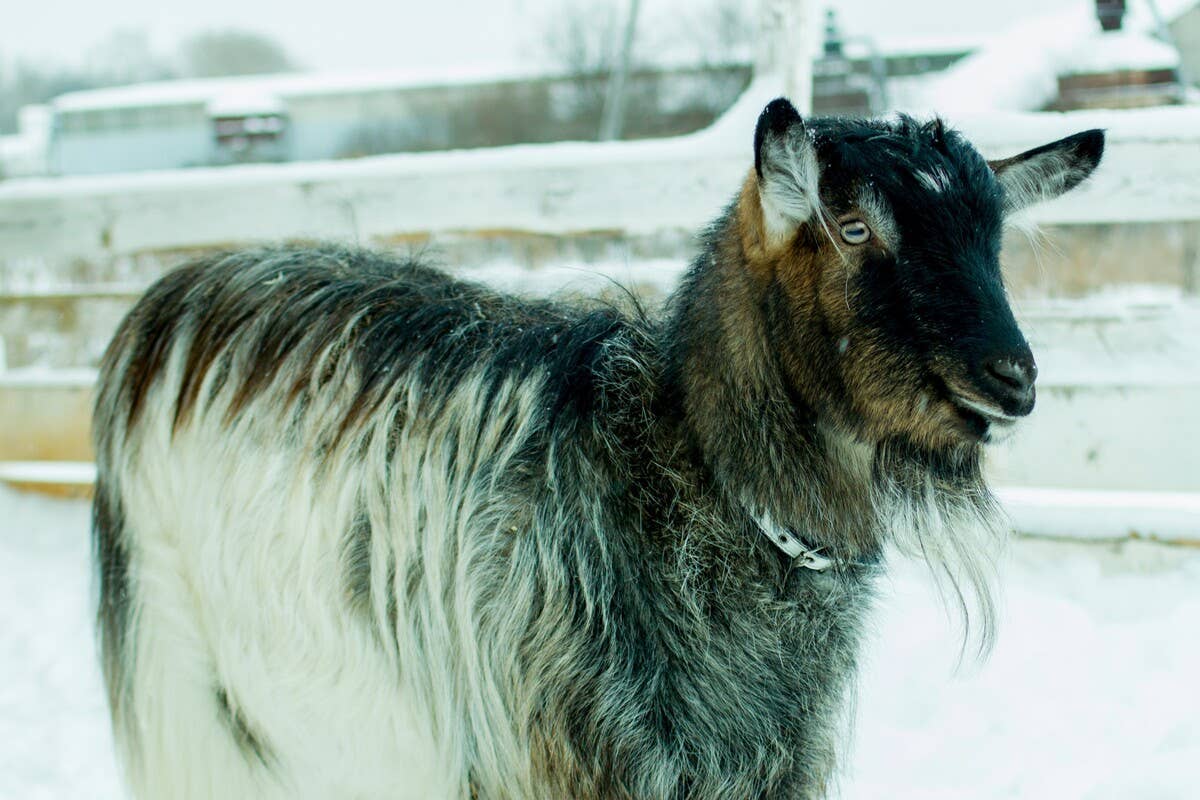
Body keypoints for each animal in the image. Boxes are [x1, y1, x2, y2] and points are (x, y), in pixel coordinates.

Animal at [93, 98, 1104, 799]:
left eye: (993, 238)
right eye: (853, 228)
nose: (1012, 378)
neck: (676, 480)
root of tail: (163, 299)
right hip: (188, 686)